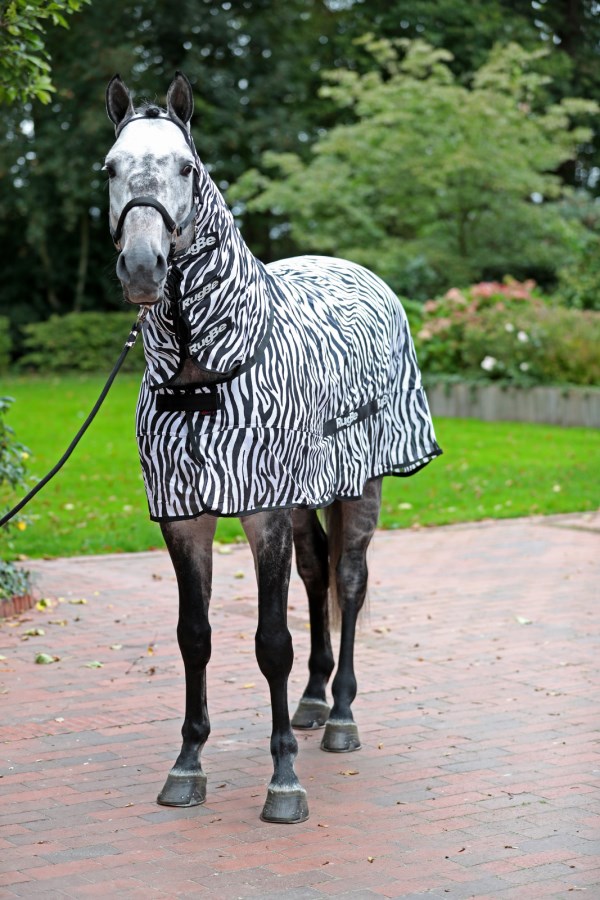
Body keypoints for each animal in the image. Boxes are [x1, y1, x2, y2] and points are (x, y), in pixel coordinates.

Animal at [105, 72, 442, 824]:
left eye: (186, 167)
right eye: (111, 168)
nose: (142, 265)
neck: (203, 375)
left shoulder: (261, 512)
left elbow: (271, 644)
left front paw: (283, 780)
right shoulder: (185, 515)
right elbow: (194, 636)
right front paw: (187, 764)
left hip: (360, 486)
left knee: (349, 579)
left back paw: (339, 714)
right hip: (302, 498)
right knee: (318, 573)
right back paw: (314, 702)